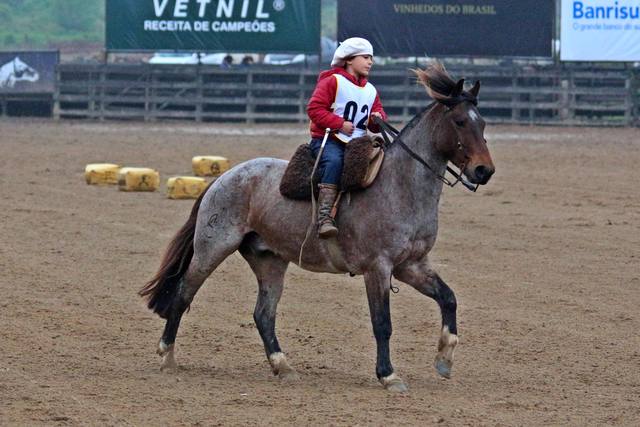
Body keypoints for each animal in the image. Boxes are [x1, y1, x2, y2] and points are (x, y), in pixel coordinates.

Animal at [140, 61, 498, 392]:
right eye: (459, 121)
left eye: (482, 122)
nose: (484, 171)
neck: (399, 185)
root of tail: (223, 178)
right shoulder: (378, 267)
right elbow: (382, 323)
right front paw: (388, 375)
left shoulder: (411, 265)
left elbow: (448, 298)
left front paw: (444, 358)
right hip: (211, 249)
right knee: (183, 293)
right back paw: (167, 356)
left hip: (270, 261)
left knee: (263, 314)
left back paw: (282, 366)